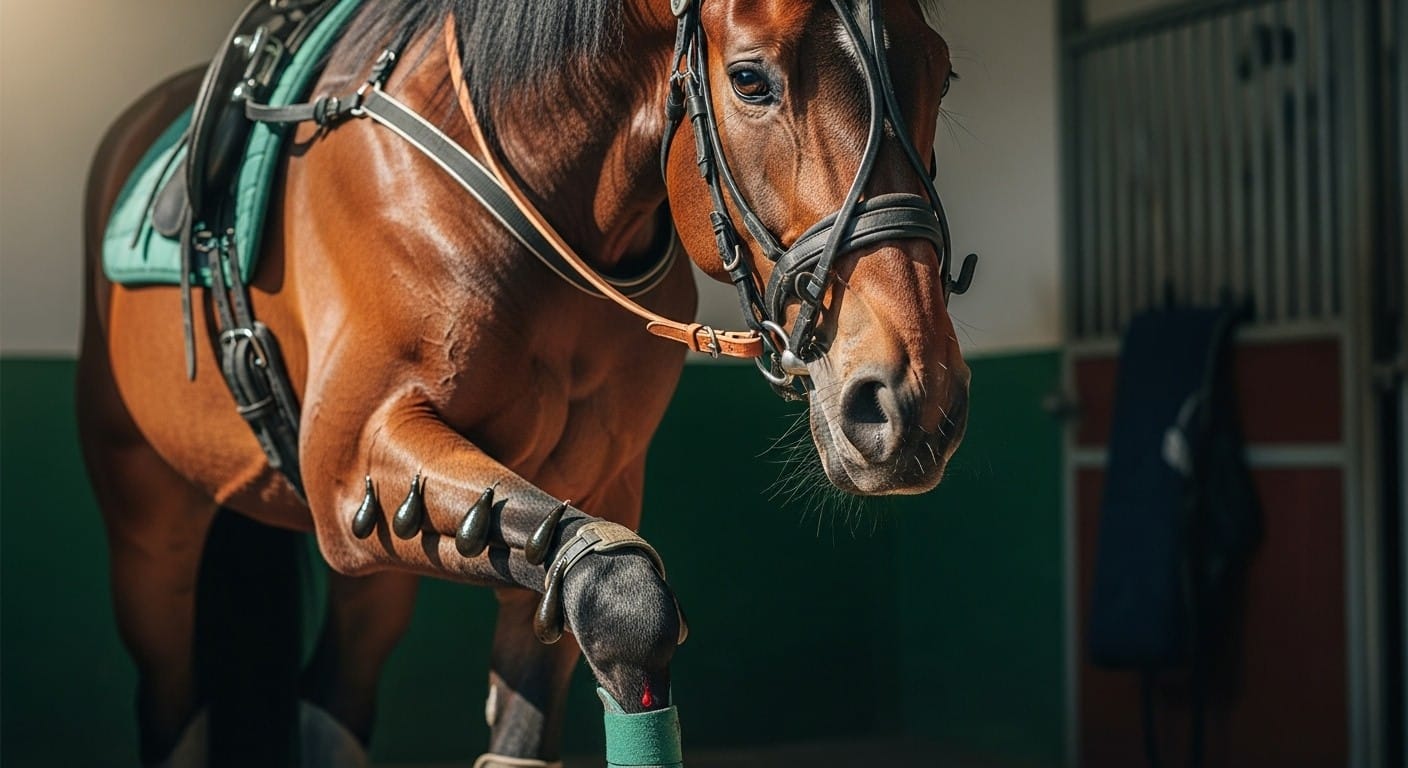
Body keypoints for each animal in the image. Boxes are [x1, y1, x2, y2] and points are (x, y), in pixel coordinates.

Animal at [78, 0, 971, 765]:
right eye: (751, 79)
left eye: (941, 72)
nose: (908, 398)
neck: (528, 186)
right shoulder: (347, 461)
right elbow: (625, 594)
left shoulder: (589, 484)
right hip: (152, 533)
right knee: (170, 698)